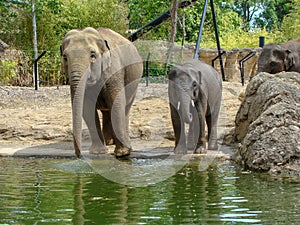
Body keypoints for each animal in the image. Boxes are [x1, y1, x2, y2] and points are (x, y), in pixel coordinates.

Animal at [60, 27, 143, 157]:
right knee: (107, 111)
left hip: (134, 82)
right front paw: (98, 152)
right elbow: (87, 107)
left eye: (92, 55)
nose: (78, 155)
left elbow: (116, 102)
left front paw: (122, 153)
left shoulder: (114, 72)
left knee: (125, 108)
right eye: (65, 57)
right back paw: (109, 142)